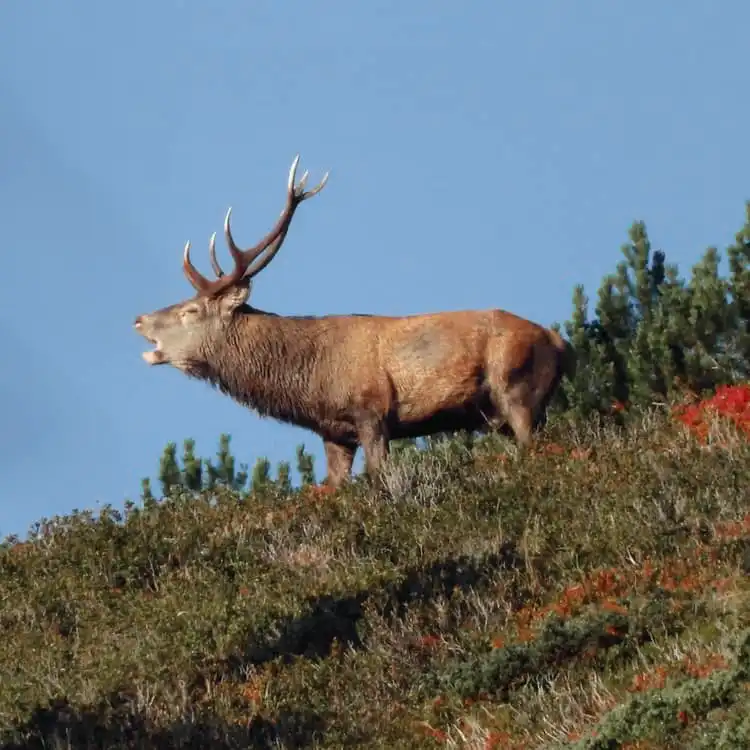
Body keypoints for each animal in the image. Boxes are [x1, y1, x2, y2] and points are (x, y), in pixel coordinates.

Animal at [134, 155, 576, 488]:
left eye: (191, 310)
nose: (139, 318)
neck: (309, 380)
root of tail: (561, 343)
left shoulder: (373, 412)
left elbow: (379, 478)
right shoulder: (333, 432)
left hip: (517, 389)